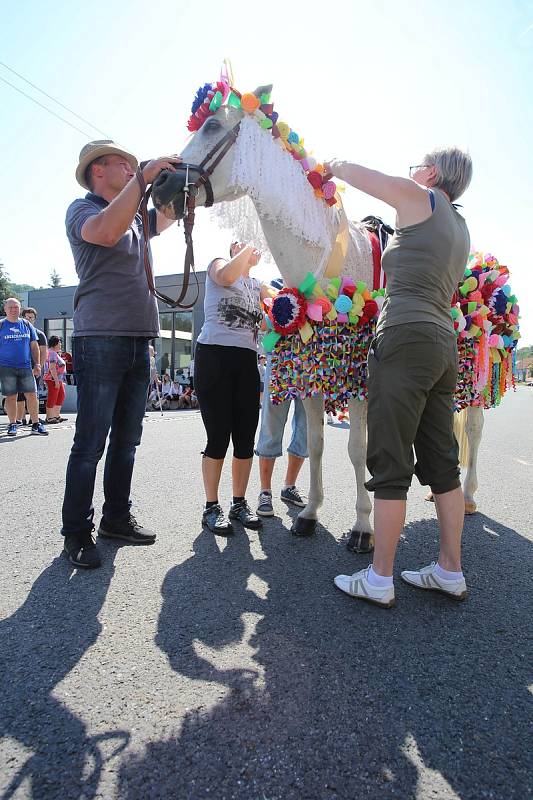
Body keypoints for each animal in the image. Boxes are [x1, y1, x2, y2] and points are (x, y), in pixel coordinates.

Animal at [151, 86, 486, 552]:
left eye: (213, 125)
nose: (160, 184)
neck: (327, 265)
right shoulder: (311, 374)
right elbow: (317, 444)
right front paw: (309, 514)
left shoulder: (364, 381)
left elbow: (358, 449)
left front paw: (363, 528)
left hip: (476, 378)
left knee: (472, 430)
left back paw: (468, 498)